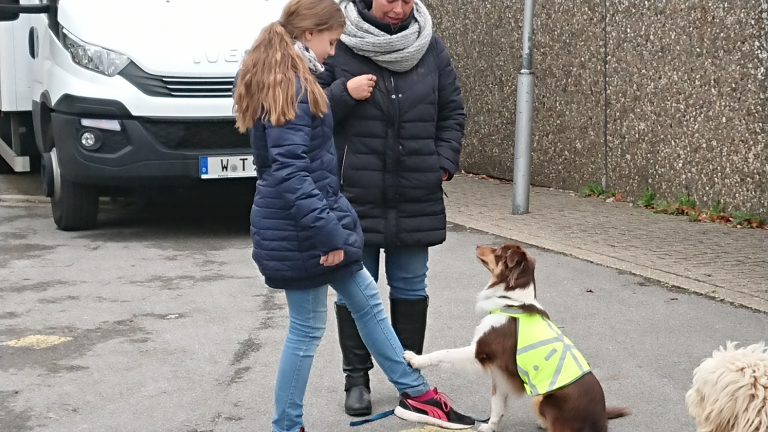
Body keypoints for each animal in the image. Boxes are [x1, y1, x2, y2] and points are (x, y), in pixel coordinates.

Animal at [402, 245, 632, 430]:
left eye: (498, 251)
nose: (477, 246)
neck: (510, 300)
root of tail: (601, 419)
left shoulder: (480, 351)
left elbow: (443, 353)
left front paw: (415, 359)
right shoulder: (499, 373)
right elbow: (497, 406)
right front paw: (489, 427)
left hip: (547, 400)